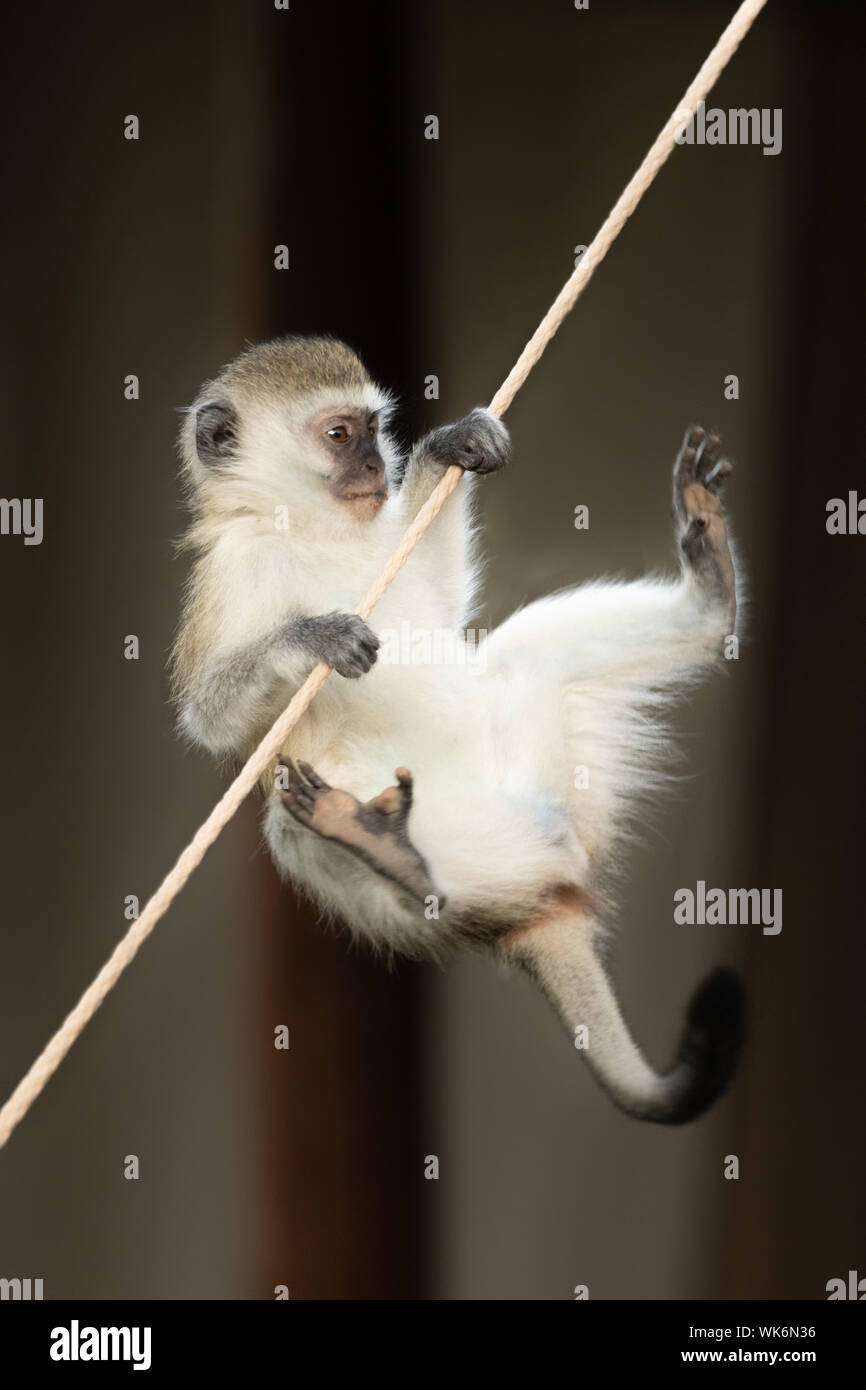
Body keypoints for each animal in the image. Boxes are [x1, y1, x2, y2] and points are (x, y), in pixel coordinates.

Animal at [172, 334, 745, 1126]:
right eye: (339, 436)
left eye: (374, 431)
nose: (376, 469)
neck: (309, 528)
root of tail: (533, 897)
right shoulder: (237, 568)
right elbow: (210, 717)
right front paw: (311, 638)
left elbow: (439, 601)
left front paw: (447, 449)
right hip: (460, 845)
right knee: (291, 825)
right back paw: (391, 854)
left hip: (542, 776)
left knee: (532, 652)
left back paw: (710, 597)